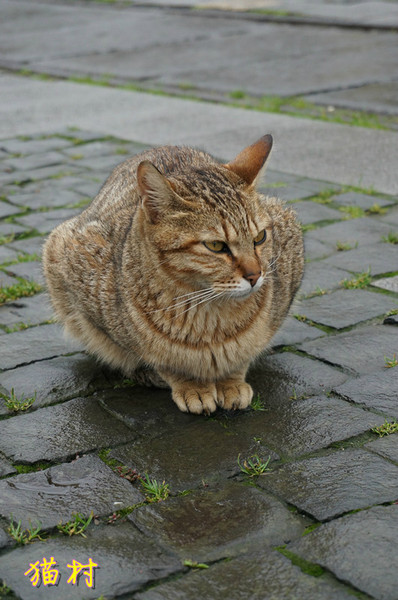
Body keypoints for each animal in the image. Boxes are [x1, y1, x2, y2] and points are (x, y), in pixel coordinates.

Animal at [43, 135, 304, 418]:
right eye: (216, 246)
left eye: (260, 238)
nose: (256, 275)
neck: (210, 316)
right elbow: (161, 358)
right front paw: (191, 385)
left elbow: (242, 355)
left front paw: (230, 382)